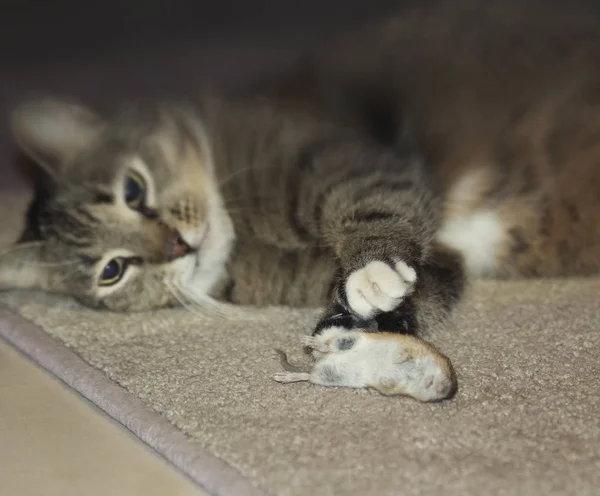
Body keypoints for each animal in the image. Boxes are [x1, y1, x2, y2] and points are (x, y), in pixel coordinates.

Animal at [1, 0, 600, 396]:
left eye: (133, 189)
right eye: (112, 271)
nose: (176, 246)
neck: (243, 225)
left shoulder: (341, 155)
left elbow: (367, 196)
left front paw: (372, 270)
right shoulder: (434, 268)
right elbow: (422, 287)